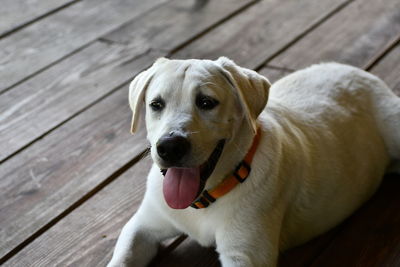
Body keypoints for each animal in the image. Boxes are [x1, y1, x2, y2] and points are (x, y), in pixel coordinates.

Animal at [107, 57, 400, 266]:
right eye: (156, 105)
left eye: (206, 102)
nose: (169, 147)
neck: (206, 199)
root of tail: (358, 72)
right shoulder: (142, 226)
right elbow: (122, 256)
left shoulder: (246, 254)